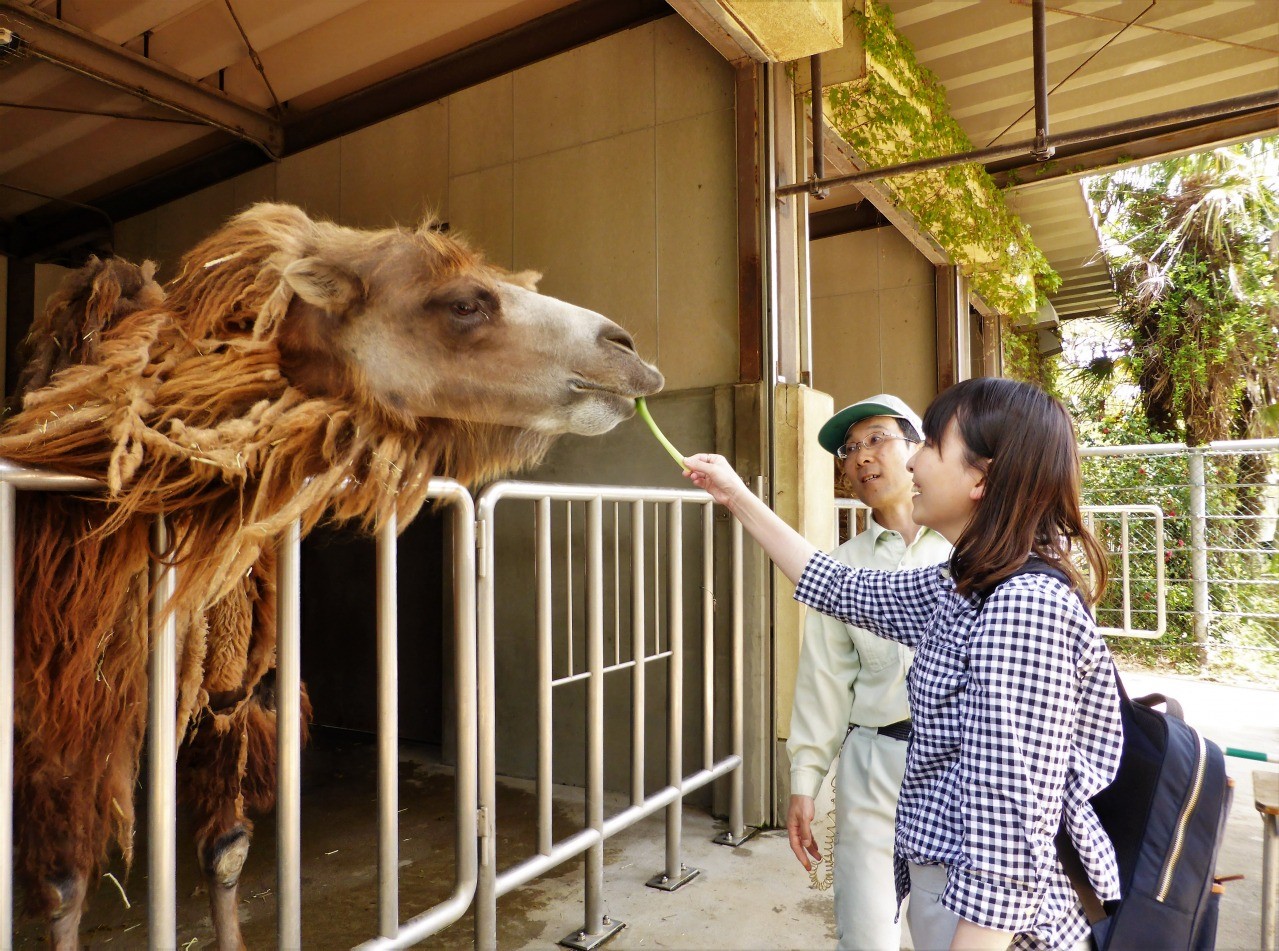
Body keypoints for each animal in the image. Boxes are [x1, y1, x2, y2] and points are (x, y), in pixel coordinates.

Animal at [0, 201, 659, 951]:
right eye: (464, 303)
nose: (628, 351)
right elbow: (64, 884)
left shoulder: (228, 687)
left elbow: (225, 849)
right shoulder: (65, 701)